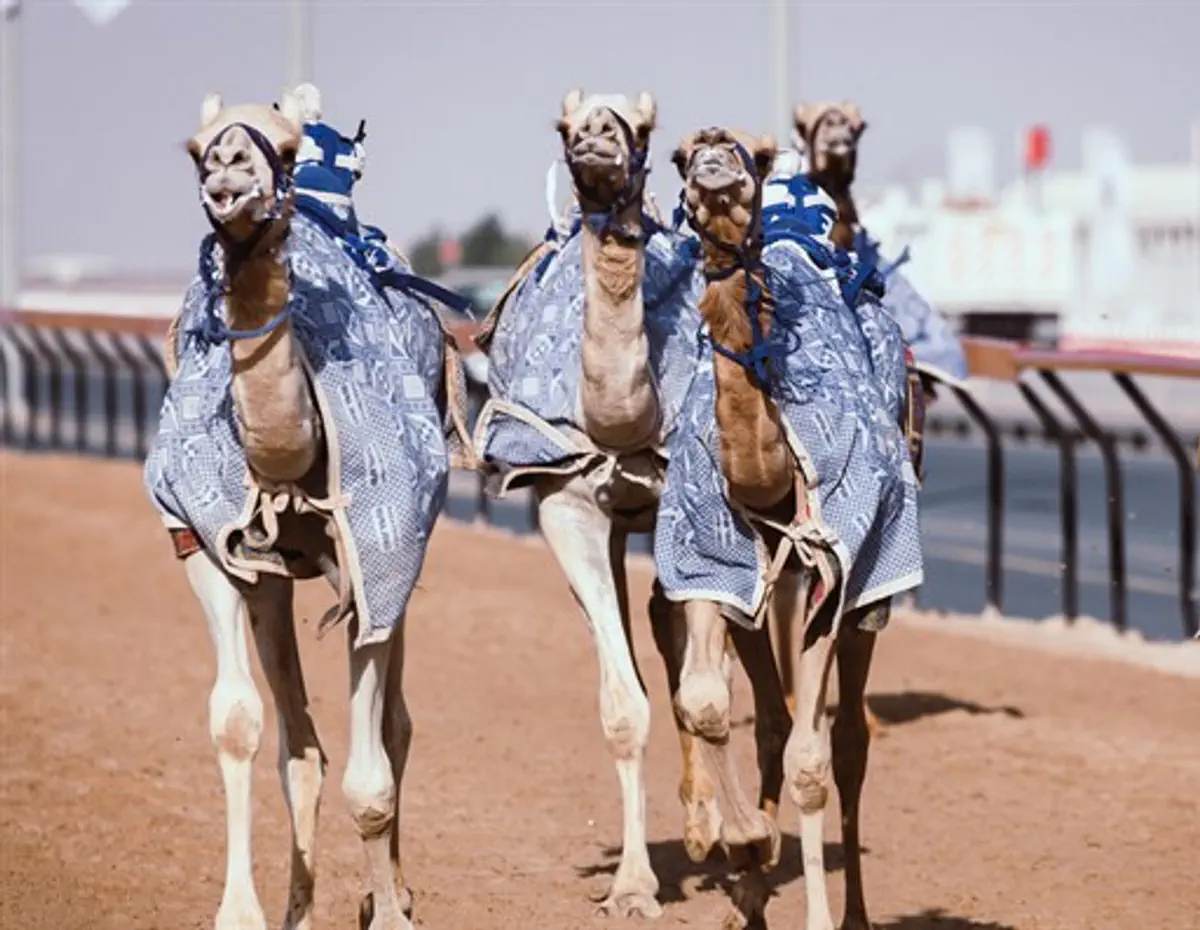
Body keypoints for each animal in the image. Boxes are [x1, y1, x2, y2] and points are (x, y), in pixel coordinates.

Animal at [142, 83, 470, 926]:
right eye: (195, 149)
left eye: (287, 148)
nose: (228, 177)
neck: (291, 456)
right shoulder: (208, 548)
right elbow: (239, 727)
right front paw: (245, 913)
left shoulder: (378, 561)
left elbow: (372, 775)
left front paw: (388, 912)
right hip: (272, 582)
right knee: (302, 743)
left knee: (394, 725)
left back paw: (394, 891)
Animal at [662, 125, 921, 930]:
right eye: (681, 155)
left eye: (758, 152)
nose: (715, 160)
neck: (768, 477)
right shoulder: (713, 569)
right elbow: (708, 704)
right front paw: (746, 845)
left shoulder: (833, 578)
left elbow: (813, 761)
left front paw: (802, 899)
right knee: (775, 721)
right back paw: (750, 884)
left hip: (868, 594)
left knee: (847, 740)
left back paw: (854, 914)